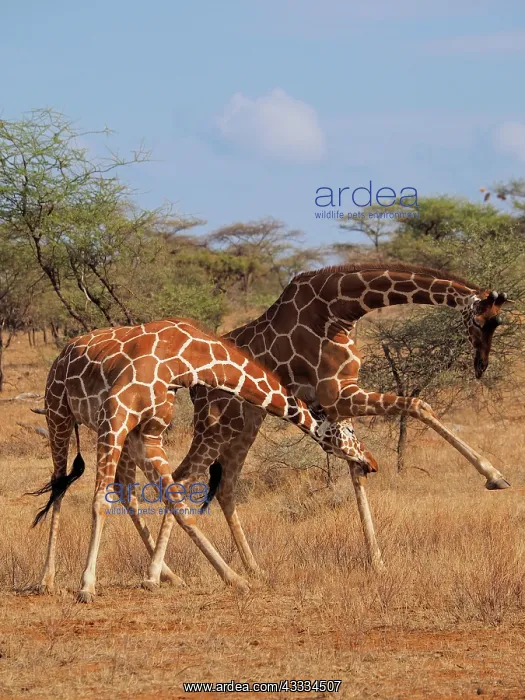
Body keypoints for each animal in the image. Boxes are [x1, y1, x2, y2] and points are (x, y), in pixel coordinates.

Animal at [32, 317, 365, 602]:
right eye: (349, 429)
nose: (369, 462)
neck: (184, 359)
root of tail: (63, 352)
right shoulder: (115, 417)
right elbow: (100, 502)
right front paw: (87, 586)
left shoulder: (148, 432)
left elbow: (179, 503)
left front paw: (234, 578)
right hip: (59, 414)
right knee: (59, 486)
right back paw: (47, 580)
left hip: (128, 439)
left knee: (125, 489)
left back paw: (170, 575)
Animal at [141, 263, 511, 590]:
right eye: (479, 321)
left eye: (498, 322)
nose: (481, 365)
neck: (339, 310)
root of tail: (191, 382)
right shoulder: (339, 396)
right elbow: (417, 406)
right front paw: (494, 476)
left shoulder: (338, 402)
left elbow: (357, 469)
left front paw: (377, 561)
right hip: (219, 422)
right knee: (180, 478)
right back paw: (164, 574)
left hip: (248, 421)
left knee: (223, 485)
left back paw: (251, 568)